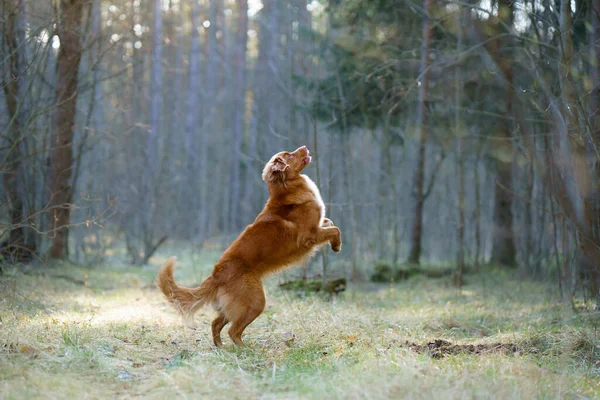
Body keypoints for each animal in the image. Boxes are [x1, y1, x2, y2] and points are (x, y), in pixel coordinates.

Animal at [157, 145, 340, 346]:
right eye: (289, 155)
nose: (305, 147)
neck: (287, 189)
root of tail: (217, 274)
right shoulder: (309, 235)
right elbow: (335, 229)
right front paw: (337, 246)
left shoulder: (318, 226)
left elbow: (330, 222)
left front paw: (334, 243)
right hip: (255, 303)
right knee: (233, 331)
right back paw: (244, 349)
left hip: (233, 307)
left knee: (216, 324)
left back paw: (221, 348)